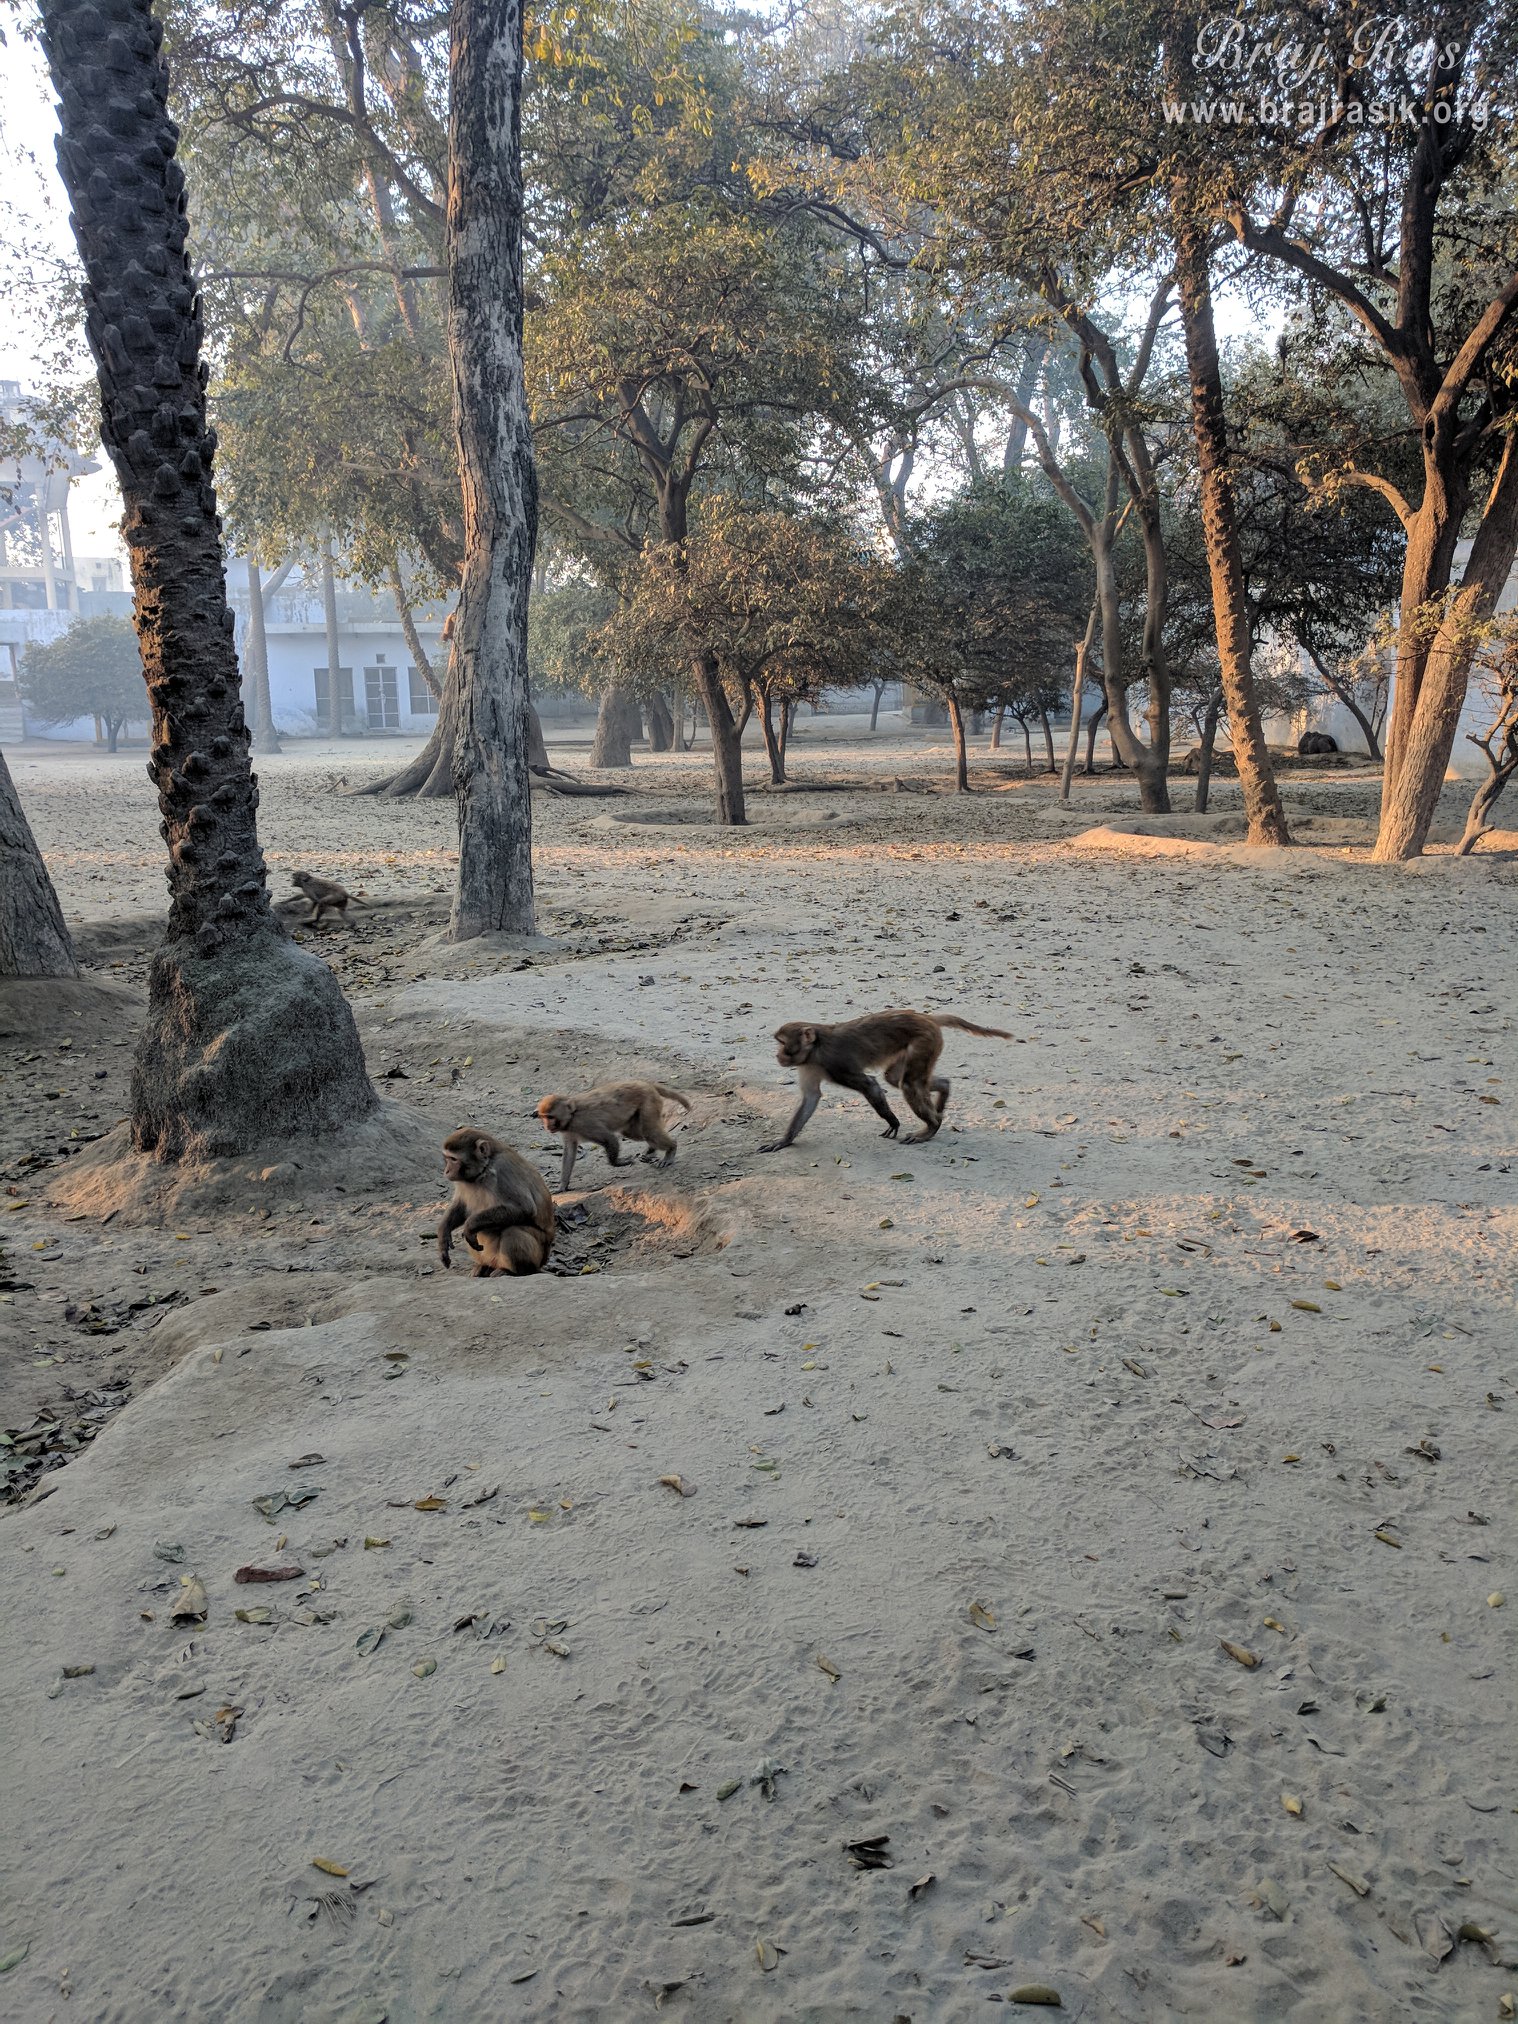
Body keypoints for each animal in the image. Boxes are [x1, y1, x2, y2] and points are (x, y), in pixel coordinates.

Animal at [437, 1127, 555, 1276]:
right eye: (447, 1159)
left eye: (453, 1159)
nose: (446, 1171)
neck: (484, 1169)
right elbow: (461, 1206)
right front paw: (443, 1235)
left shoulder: (504, 1168)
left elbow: (524, 1208)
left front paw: (470, 1225)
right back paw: (483, 1266)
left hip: (537, 1255)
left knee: (513, 1231)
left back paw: (513, 1271)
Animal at [536, 1081, 692, 1190]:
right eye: (543, 1117)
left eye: (550, 1117)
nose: (546, 1126)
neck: (571, 1116)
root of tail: (645, 1083)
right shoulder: (569, 1131)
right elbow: (569, 1152)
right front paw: (562, 1186)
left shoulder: (584, 1124)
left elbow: (609, 1138)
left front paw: (618, 1162)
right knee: (634, 1133)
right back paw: (652, 1149)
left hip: (649, 1102)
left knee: (649, 1132)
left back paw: (671, 1149)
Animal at [758, 1009, 1014, 1152]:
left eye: (782, 1043)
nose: (777, 1055)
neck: (815, 1049)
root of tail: (926, 1017)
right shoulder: (809, 1065)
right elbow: (811, 1098)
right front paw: (784, 1140)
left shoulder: (834, 1064)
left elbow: (870, 1084)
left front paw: (893, 1122)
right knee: (898, 1078)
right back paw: (944, 1089)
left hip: (924, 1041)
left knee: (907, 1083)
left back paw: (931, 1128)